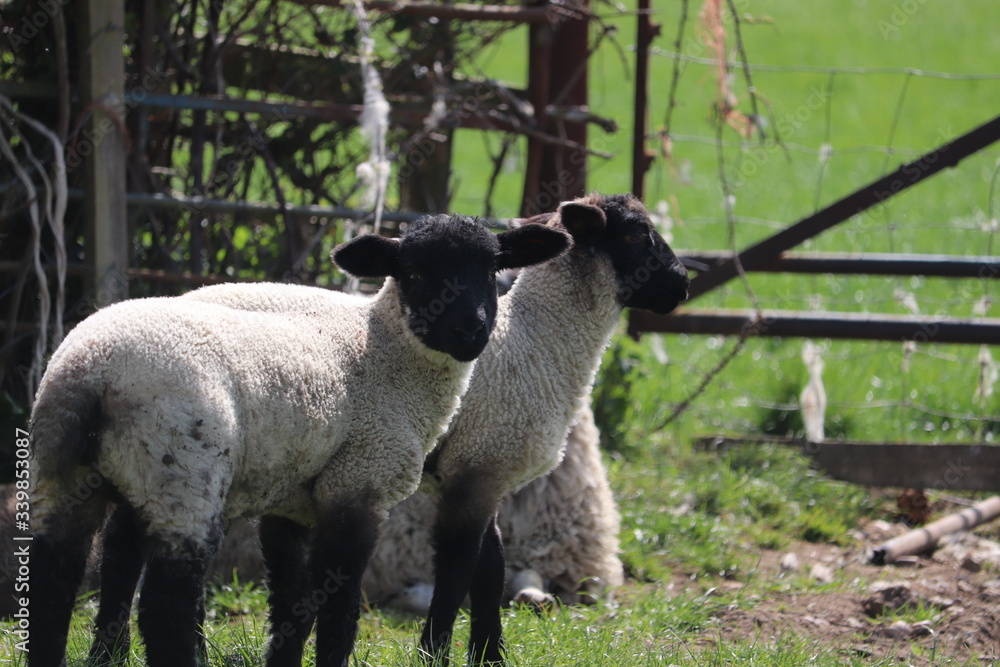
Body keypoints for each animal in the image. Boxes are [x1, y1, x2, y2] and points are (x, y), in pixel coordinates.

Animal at [27, 214, 571, 667]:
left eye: (492, 269)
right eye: (416, 273)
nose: (471, 329)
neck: (387, 356)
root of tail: (92, 372)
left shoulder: (293, 499)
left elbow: (292, 602)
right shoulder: (357, 483)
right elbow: (339, 605)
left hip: (71, 475)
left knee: (54, 582)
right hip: (181, 475)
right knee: (164, 605)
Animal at [413, 193, 688, 665]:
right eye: (635, 233)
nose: (682, 284)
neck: (533, 343)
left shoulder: (487, 475)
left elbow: (491, 571)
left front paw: (491, 656)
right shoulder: (475, 466)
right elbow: (457, 574)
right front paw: (434, 655)